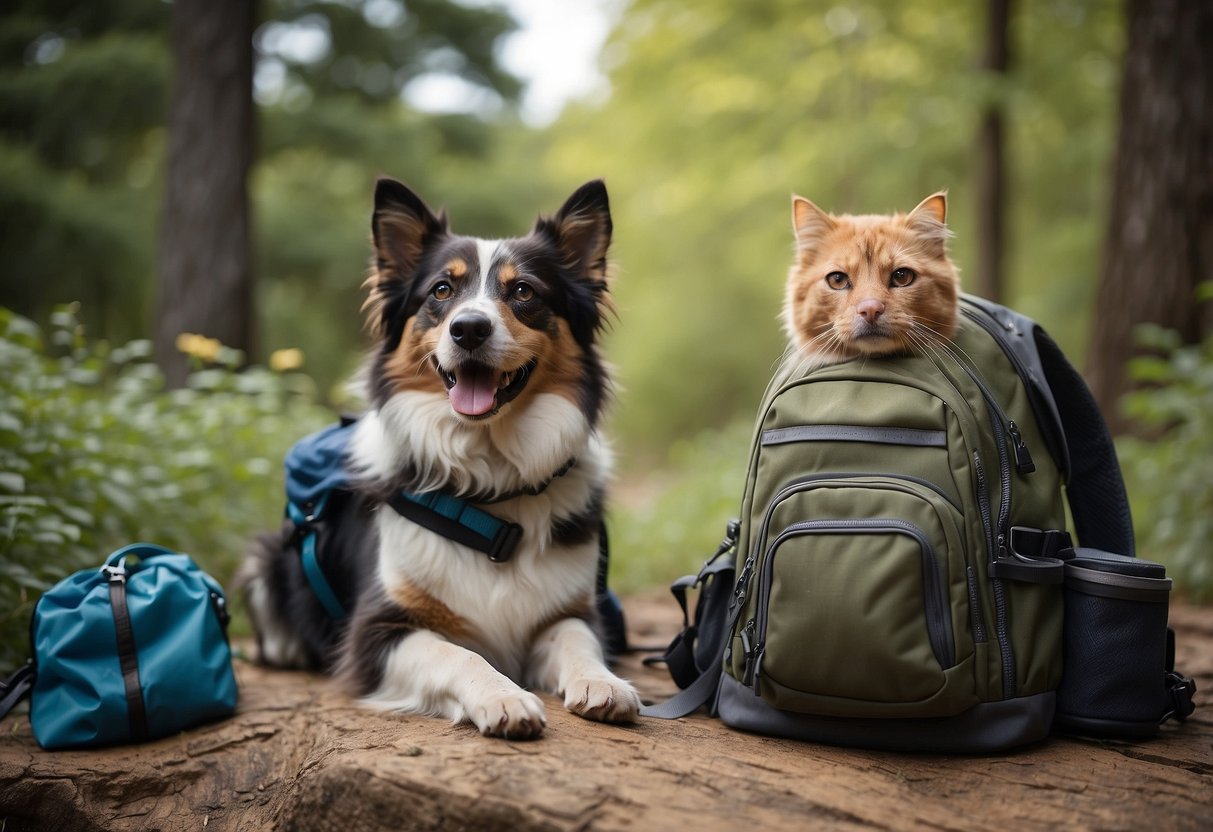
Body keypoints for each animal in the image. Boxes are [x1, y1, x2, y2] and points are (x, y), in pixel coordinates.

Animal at [243, 175, 645, 737]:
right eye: (441, 291)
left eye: (523, 291)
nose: (469, 328)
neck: (490, 486)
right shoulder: (376, 630)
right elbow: (459, 654)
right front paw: (504, 696)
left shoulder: (569, 611)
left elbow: (577, 639)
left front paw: (602, 681)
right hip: (264, 562)